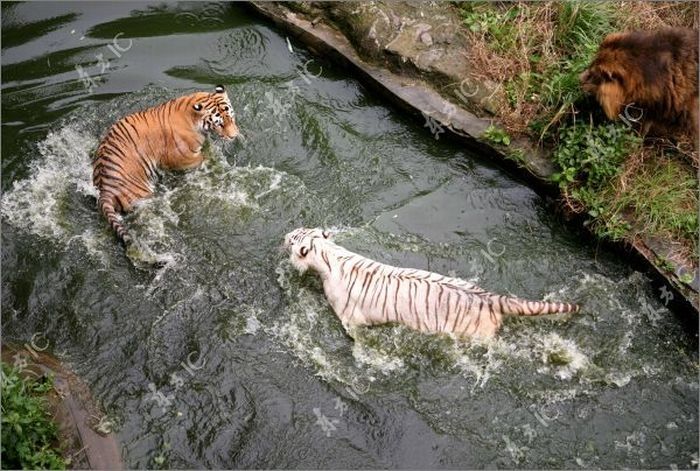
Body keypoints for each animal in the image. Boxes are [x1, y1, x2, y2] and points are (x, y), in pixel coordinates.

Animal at [91, 85, 239, 245]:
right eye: (220, 124)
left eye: (231, 117)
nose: (234, 136)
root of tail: (105, 189)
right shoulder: (182, 158)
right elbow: (205, 158)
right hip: (143, 194)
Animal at [284, 229, 580, 340]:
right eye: (298, 231)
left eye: (292, 239)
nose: (283, 235)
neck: (328, 254)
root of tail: (492, 296)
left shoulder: (350, 317)